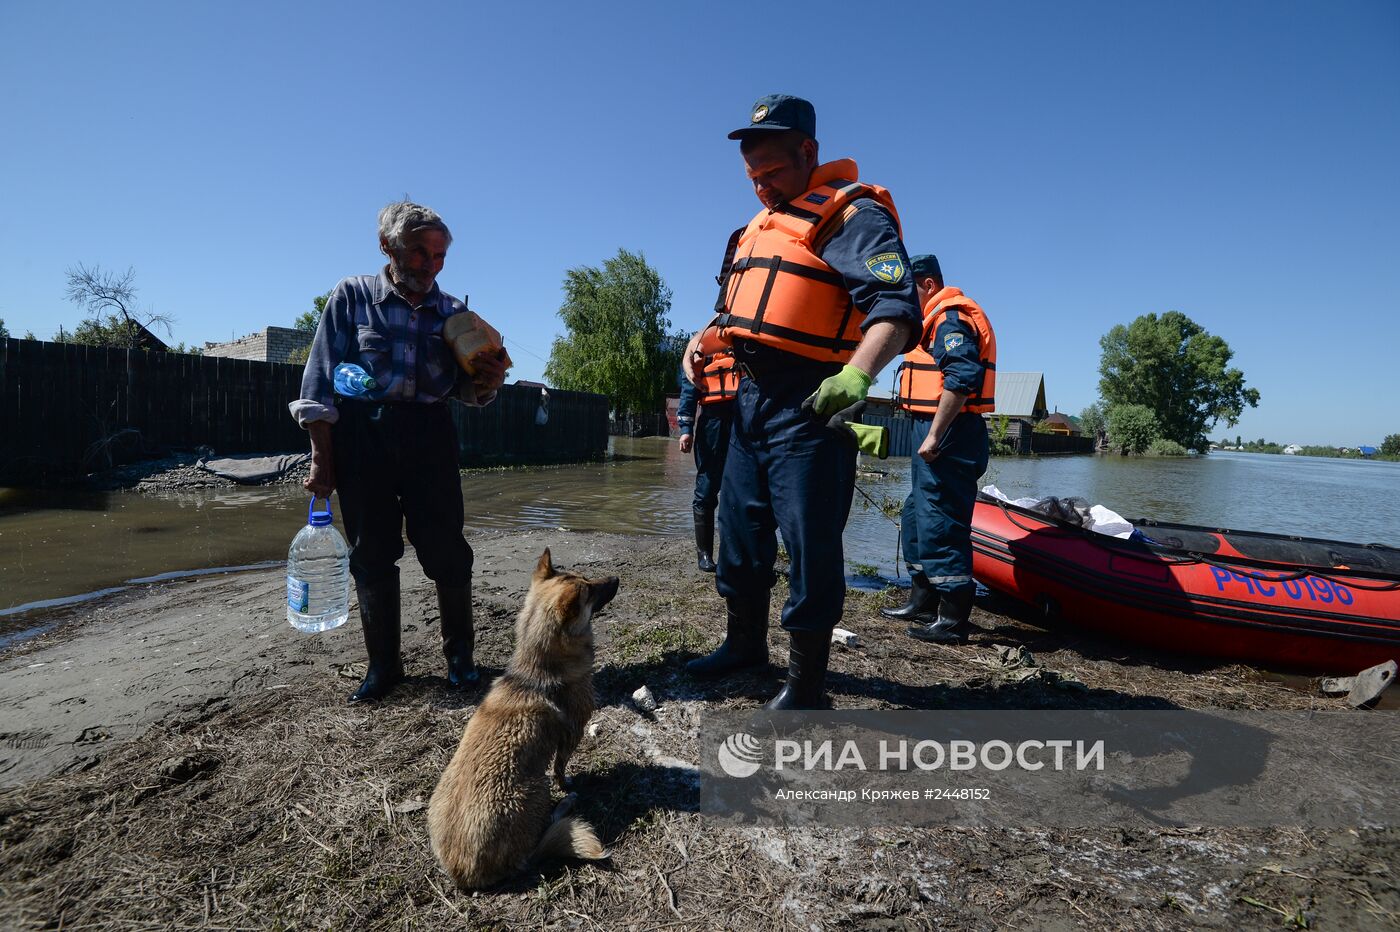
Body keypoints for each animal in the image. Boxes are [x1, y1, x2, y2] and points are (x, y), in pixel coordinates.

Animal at [425, 545, 618, 884]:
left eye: (587, 579)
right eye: (590, 590)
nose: (617, 579)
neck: (537, 671)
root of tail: (464, 872)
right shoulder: (572, 734)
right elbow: (560, 768)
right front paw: (568, 786)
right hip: (536, 787)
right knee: (541, 838)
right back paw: (565, 805)